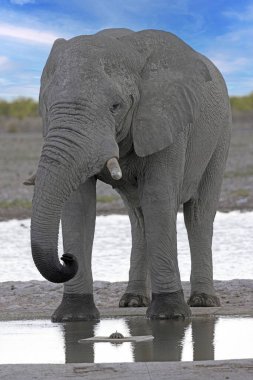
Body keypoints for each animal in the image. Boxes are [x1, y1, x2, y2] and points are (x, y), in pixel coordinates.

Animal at [30, 28, 231, 322]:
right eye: (46, 106)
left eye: (116, 106)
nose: (66, 259)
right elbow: (78, 206)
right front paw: (73, 317)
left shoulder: (167, 118)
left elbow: (158, 197)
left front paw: (169, 316)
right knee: (139, 218)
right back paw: (132, 302)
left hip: (219, 137)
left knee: (198, 214)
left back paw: (203, 302)